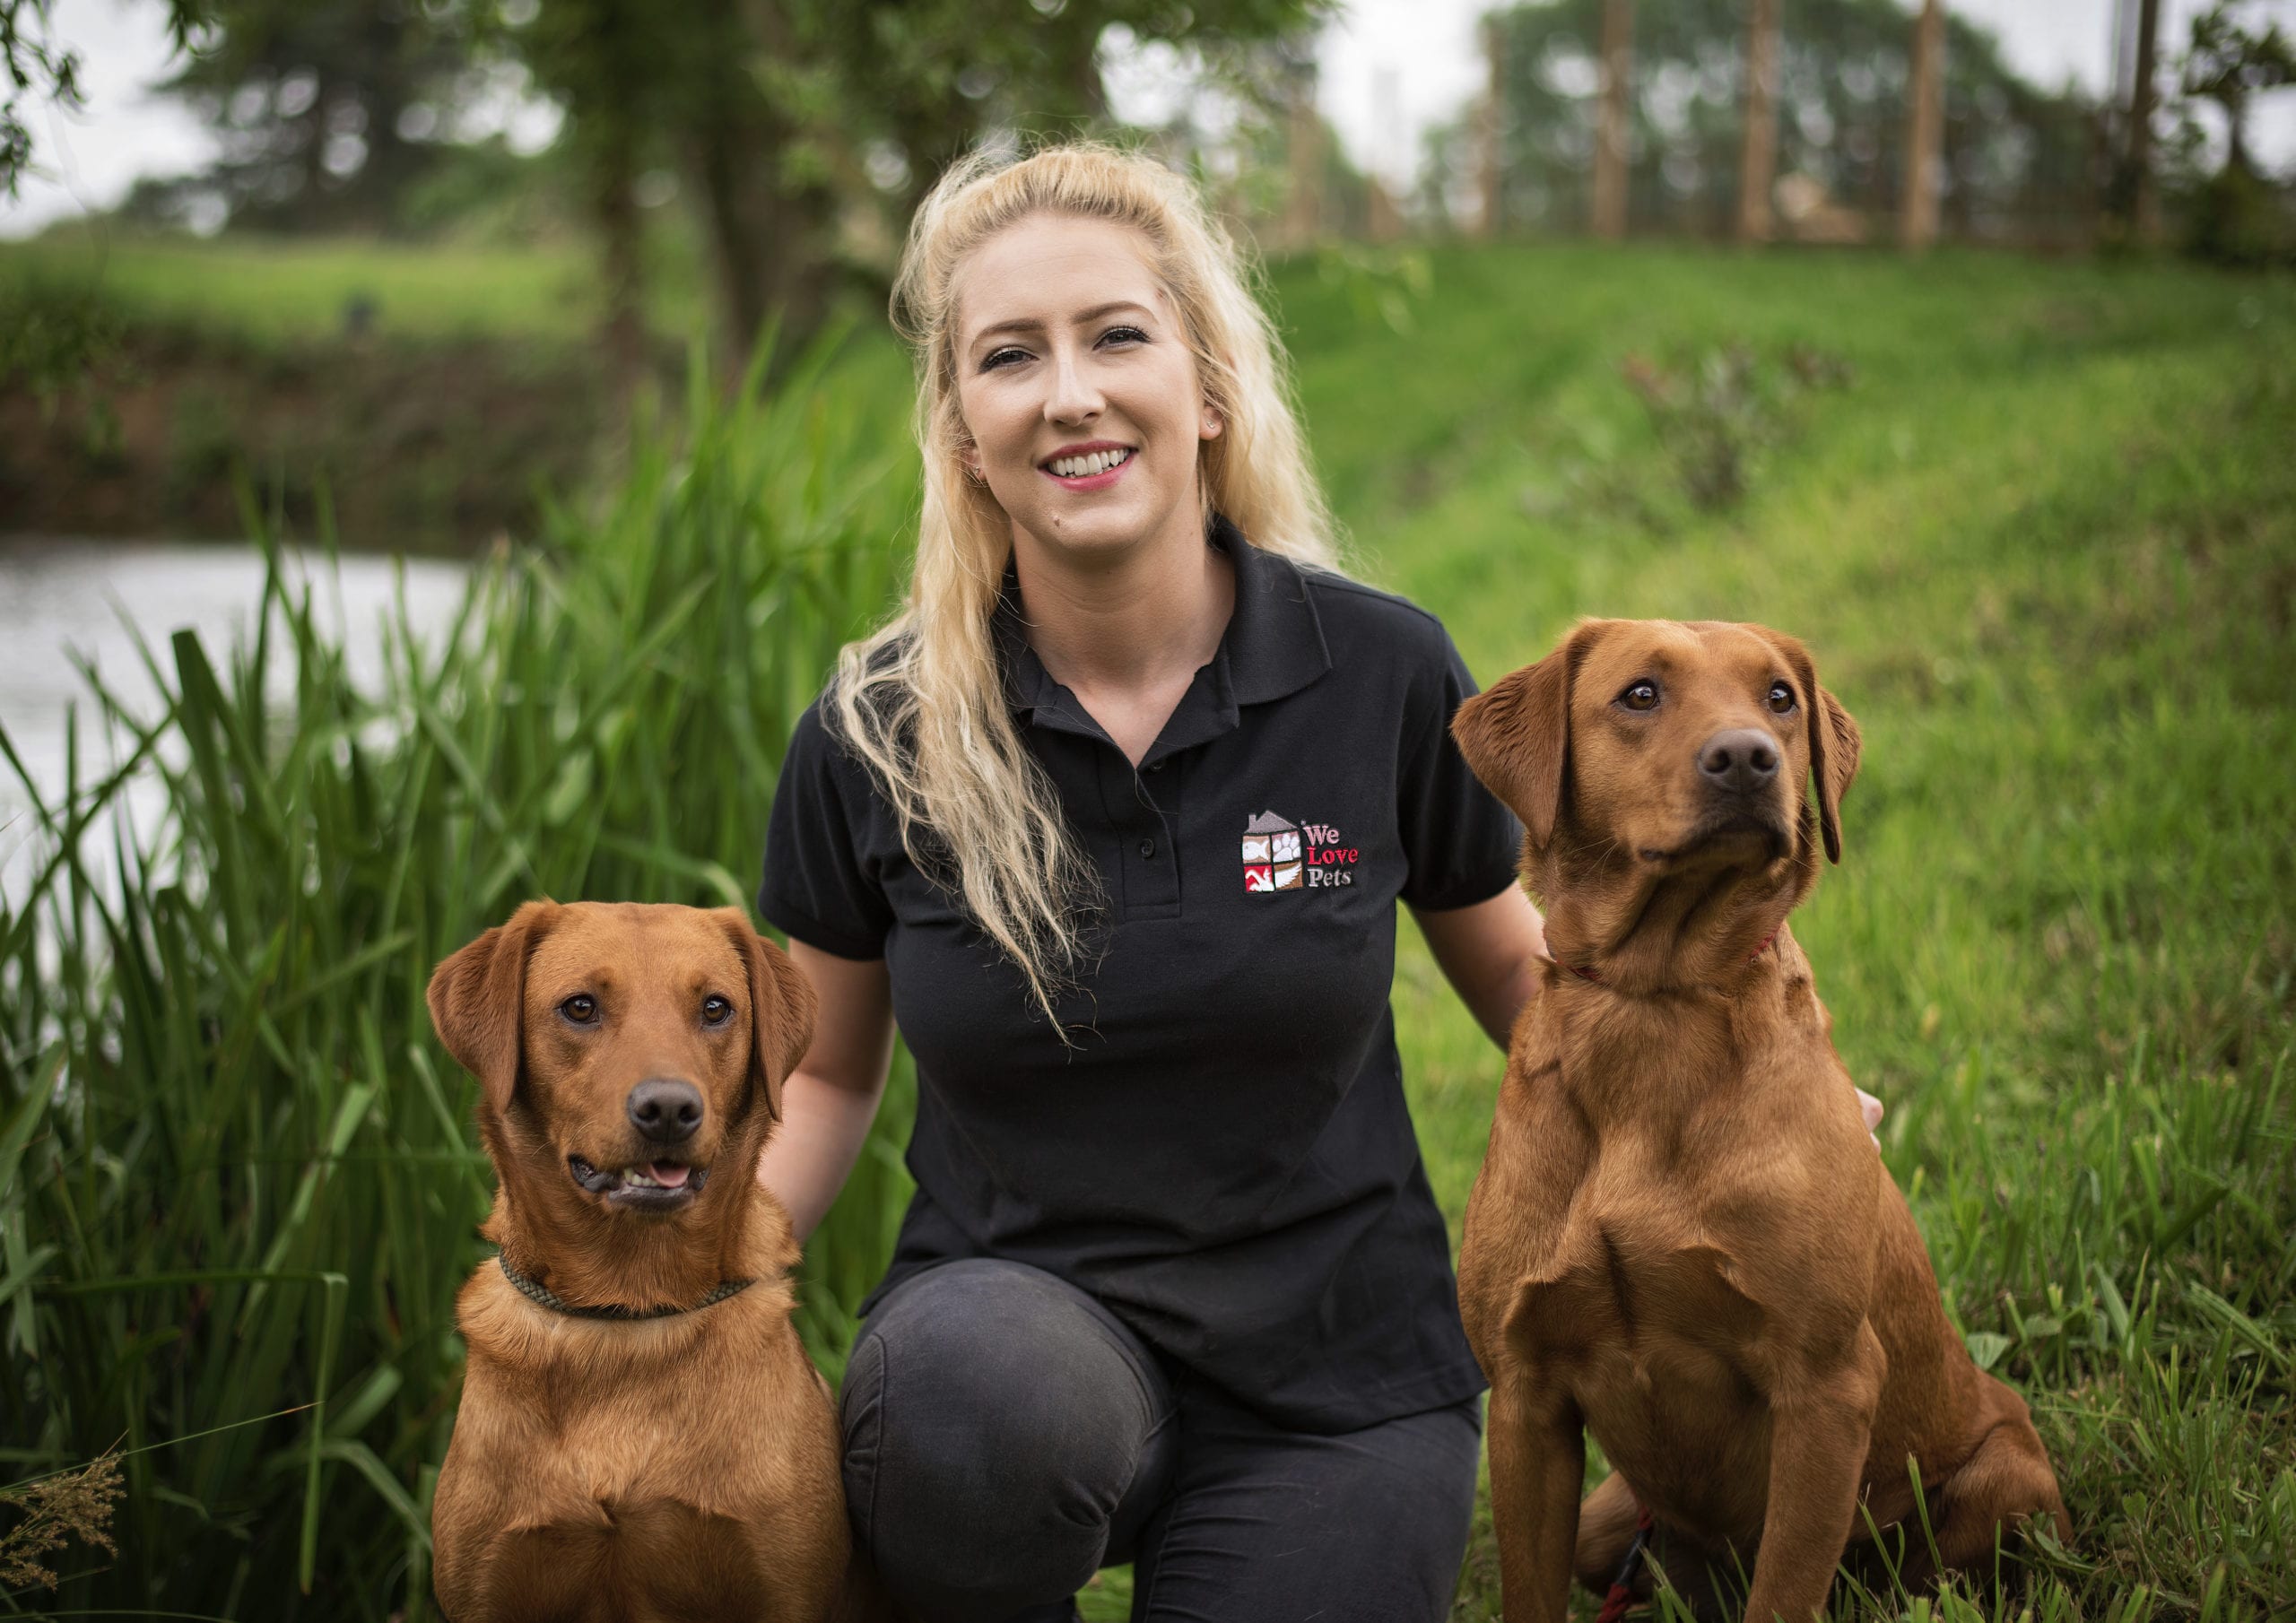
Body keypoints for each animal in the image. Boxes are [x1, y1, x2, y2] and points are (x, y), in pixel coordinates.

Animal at [427, 899, 863, 1623]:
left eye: (715, 1008)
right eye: (579, 1007)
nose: (668, 1109)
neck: (627, 1310)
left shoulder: (785, 1591)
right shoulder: (491, 1590)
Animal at [1450, 615, 2066, 1616]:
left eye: (1779, 697)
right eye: (1640, 694)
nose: (1746, 757)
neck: (1653, 999)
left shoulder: (1824, 1385)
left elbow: (1784, 1588)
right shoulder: (1525, 1393)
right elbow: (1527, 1592)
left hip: (2004, 1478)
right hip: (1607, 1522)